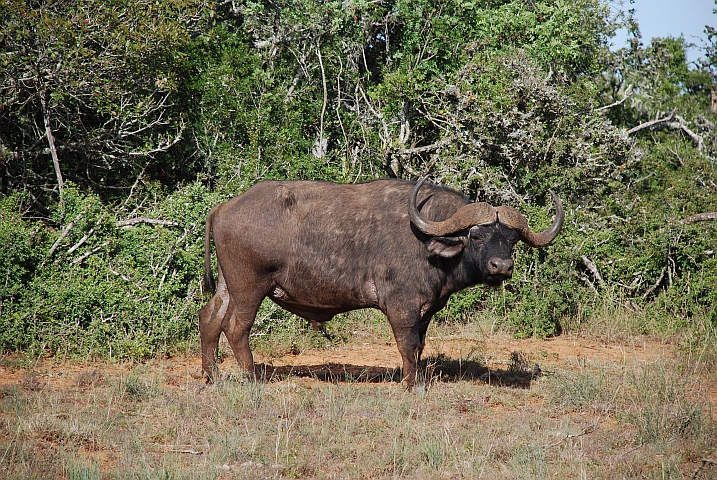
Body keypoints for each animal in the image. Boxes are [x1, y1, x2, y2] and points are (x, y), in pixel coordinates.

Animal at [199, 176, 564, 386]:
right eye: (476, 235)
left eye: (511, 240)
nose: (502, 266)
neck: (426, 241)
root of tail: (224, 207)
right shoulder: (402, 307)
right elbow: (408, 345)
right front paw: (409, 384)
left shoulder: (426, 311)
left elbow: (419, 346)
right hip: (249, 287)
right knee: (236, 328)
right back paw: (251, 378)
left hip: (228, 286)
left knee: (210, 317)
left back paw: (212, 374)